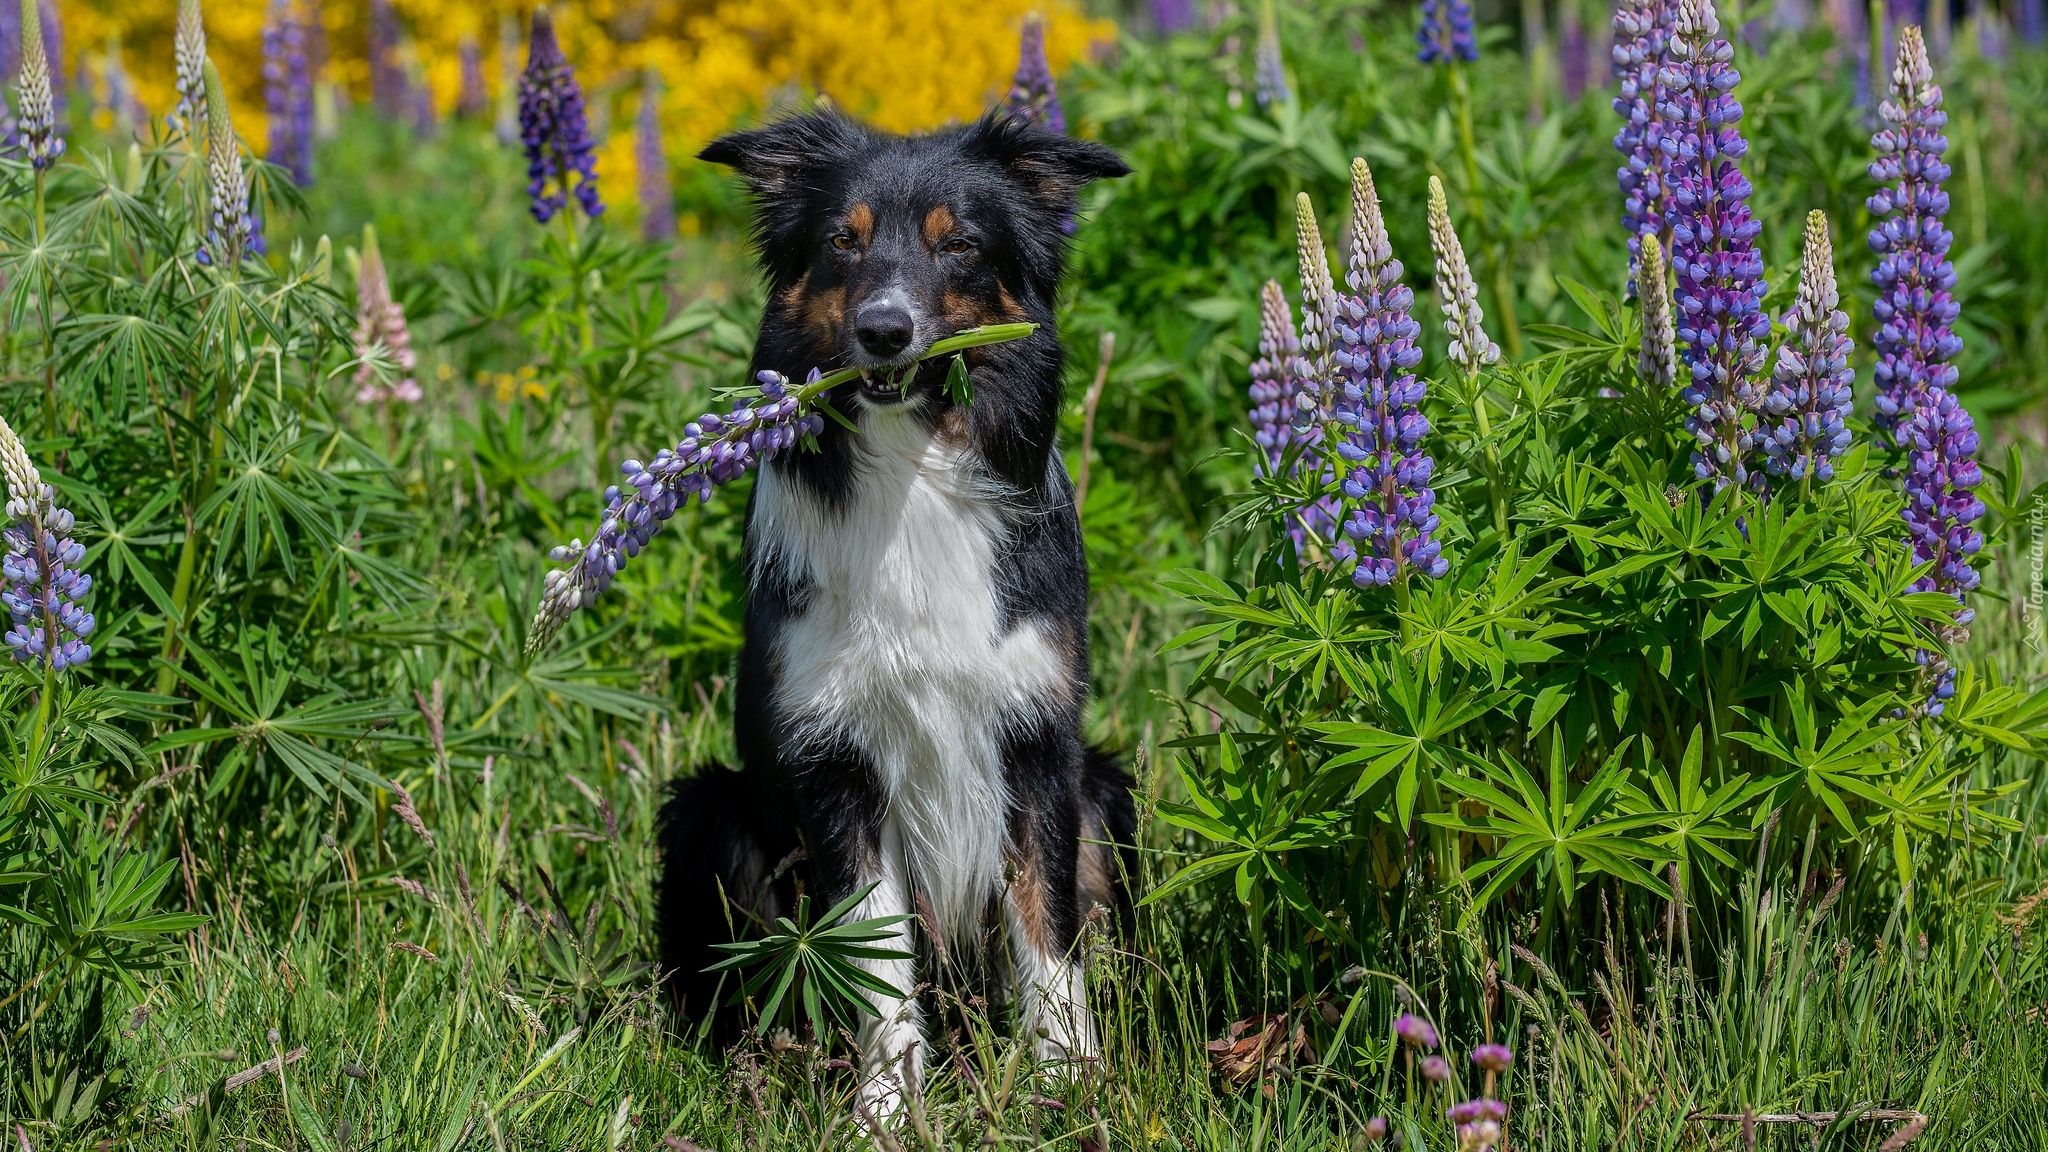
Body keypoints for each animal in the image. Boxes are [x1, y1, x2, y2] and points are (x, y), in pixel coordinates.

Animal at [655, 112, 1138, 1106]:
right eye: (843, 241)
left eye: (958, 244)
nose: (884, 330)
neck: (914, 463)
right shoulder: (834, 754)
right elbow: (874, 953)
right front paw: (888, 1109)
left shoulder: (1039, 739)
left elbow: (1047, 928)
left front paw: (1068, 1088)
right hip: (707, 809)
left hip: (1108, 792)